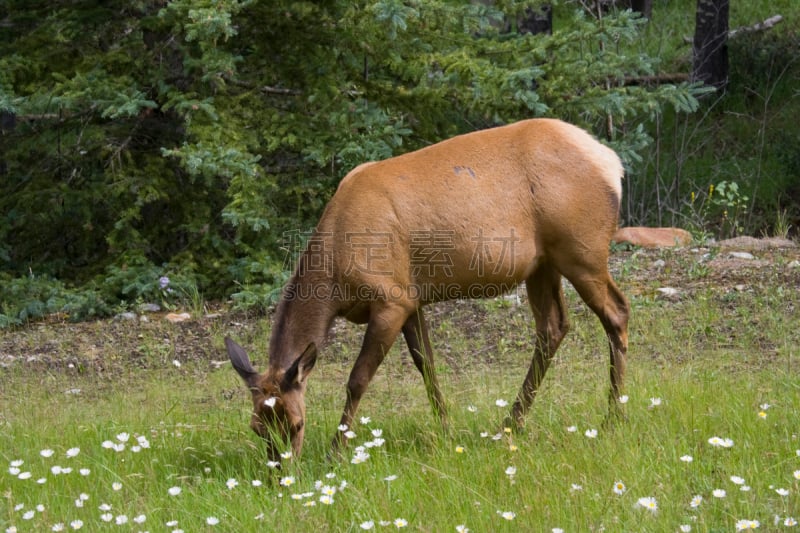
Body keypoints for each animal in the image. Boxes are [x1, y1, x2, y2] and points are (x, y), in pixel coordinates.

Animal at [227, 118, 632, 460]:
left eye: (297, 424)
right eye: (257, 428)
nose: (280, 474)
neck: (335, 284)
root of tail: (612, 163)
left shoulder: (390, 299)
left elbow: (357, 379)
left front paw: (336, 452)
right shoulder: (411, 299)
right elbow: (427, 363)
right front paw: (447, 431)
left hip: (582, 250)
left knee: (617, 312)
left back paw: (613, 417)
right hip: (543, 264)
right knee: (553, 327)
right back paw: (511, 423)